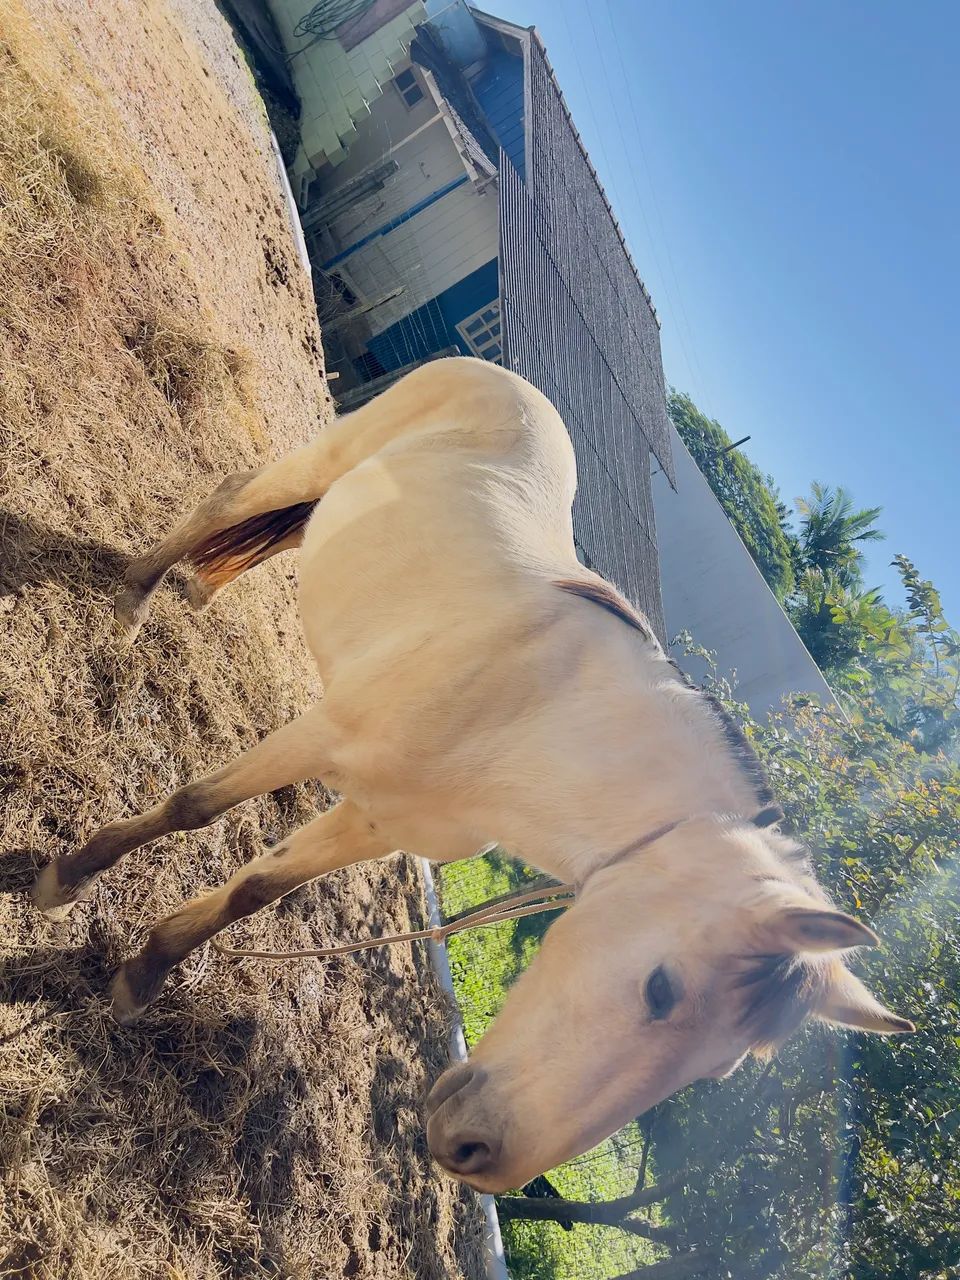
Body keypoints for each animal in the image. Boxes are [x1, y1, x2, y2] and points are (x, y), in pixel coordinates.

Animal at [31, 356, 913, 1194]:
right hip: (325, 457)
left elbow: (256, 891)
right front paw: (67, 878)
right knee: (229, 502)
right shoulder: (321, 736)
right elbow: (194, 806)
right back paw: (136, 599)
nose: (478, 1154)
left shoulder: (379, 819)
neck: (537, 711)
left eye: (720, 1068)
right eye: (661, 990)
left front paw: (142, 975)